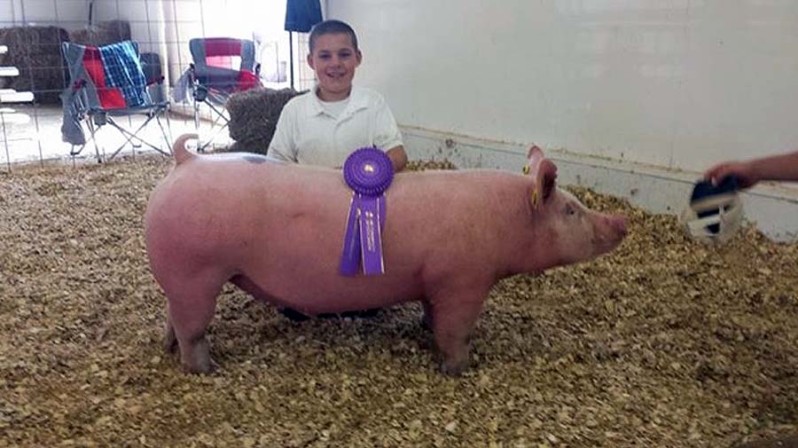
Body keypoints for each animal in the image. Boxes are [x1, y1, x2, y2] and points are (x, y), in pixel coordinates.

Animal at [147, 133, 628, 374]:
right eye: (570, 209)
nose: (621, 223)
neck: (504, 220)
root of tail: (187, 162)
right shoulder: (464, 280)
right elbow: (455, 330)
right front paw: (459, 368)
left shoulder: (436, 283)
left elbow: (434, 317)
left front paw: (426, 331)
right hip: (197, 272)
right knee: (192, 328)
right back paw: (205, 369)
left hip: (182, 279)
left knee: (172, 317)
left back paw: (168, 349)